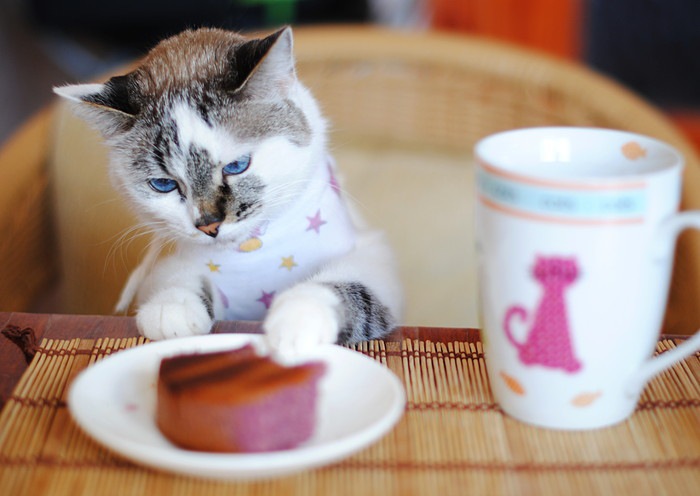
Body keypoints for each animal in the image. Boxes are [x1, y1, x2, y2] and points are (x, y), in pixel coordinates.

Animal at [52, 26, 402, 348]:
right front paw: (171, 308)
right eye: (164, 184)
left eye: (236, 166)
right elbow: (176, 277)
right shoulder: (173, 260)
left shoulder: (372, 253)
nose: (209, 225)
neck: (252, 250)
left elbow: (348, 286)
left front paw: (298, 318)